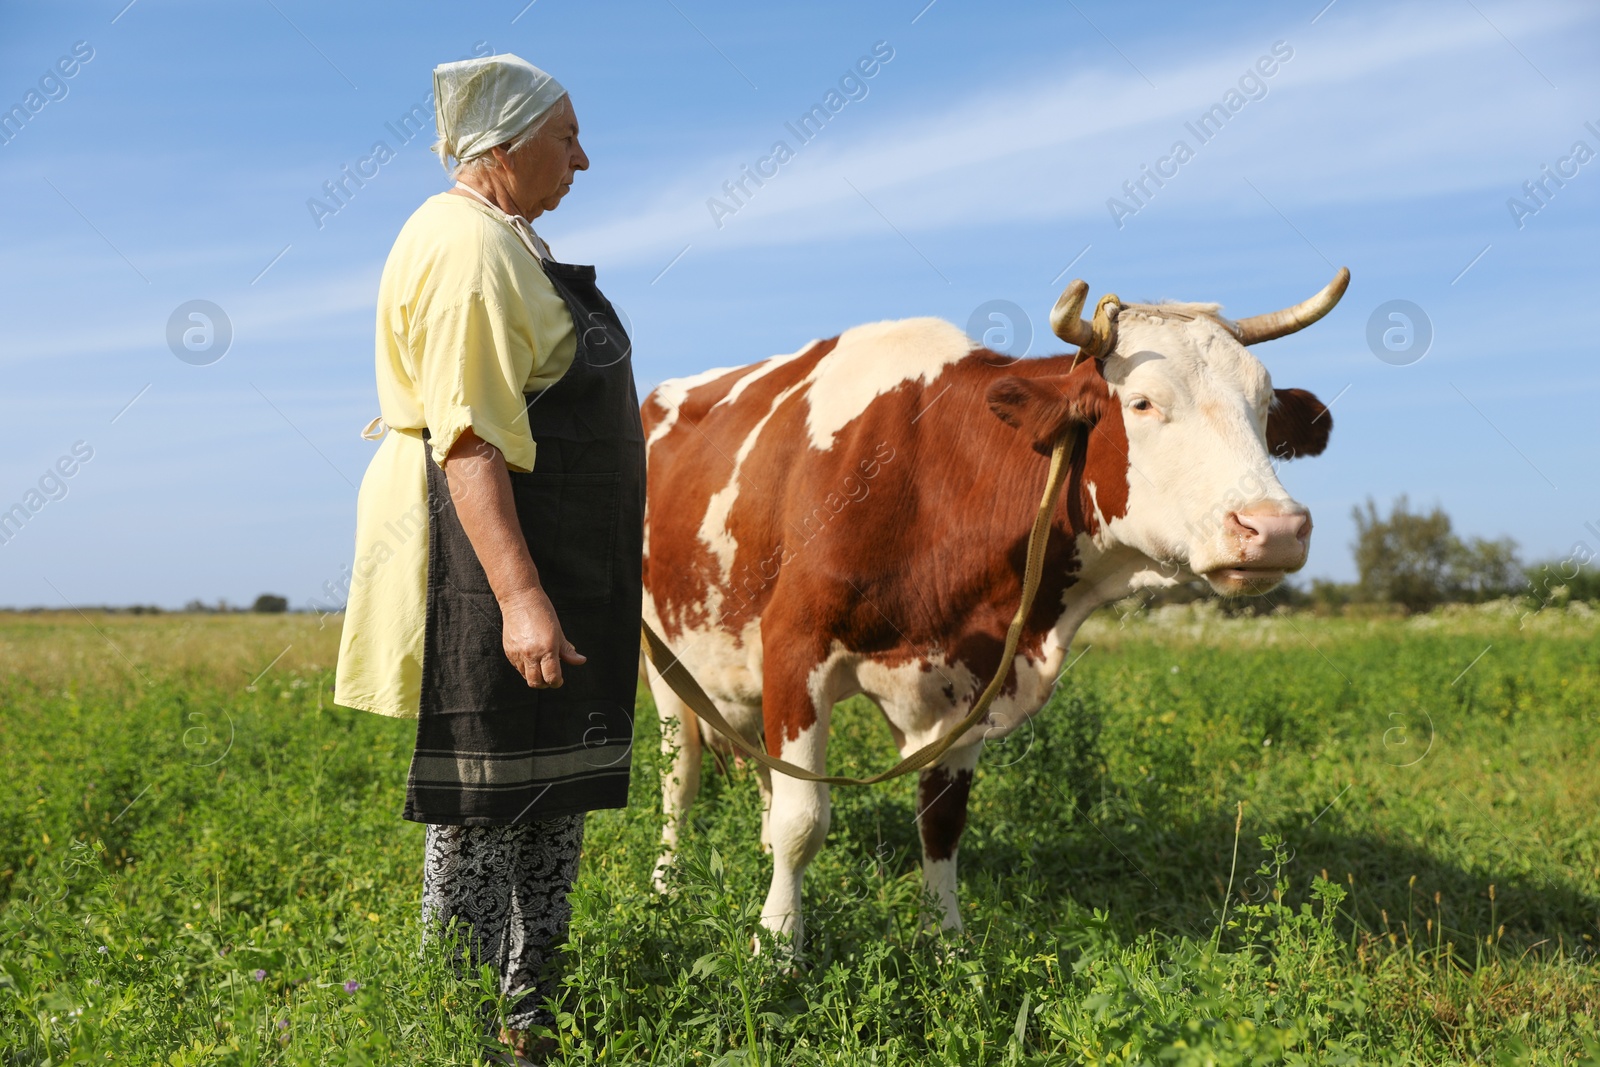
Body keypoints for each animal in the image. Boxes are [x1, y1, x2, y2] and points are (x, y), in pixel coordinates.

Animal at [636, 271, 1350, 947]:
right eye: (1142, 402)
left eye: (1264, 406)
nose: (1275, 527)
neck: (929, 480)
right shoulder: (795, 645)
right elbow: (802, 819)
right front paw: (779, 944)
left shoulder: (972, 675)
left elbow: (942, 822)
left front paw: (945, 942)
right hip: (666, 662)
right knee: (681, 776)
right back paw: (667, 883)